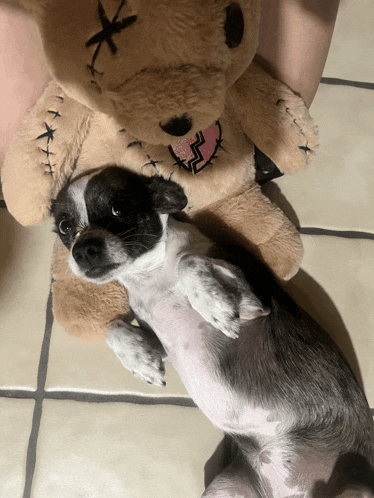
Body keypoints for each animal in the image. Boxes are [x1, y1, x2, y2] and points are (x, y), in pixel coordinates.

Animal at [51, 167, 372, 498]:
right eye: (64, 226)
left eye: (120, 208)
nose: (83, 249)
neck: (152, 276)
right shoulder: (164, 344)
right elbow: (113, 326)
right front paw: (140, 361)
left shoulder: (255, 306)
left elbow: (189, 261)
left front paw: (213, 304)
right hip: (222, 489)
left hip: (356, 488)